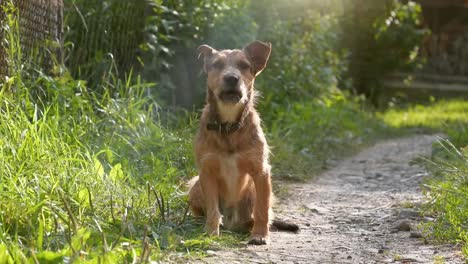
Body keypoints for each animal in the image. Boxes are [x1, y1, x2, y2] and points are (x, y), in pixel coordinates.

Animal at [186, 39, 296, 245]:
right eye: (217, 65)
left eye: (244, 65)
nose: (231, 78)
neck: (229, 126)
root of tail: (232, 224)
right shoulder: (206, 171)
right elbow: (213, 210)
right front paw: (210, 233)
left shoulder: (261, 172)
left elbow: (262, 210)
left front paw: (260, 235)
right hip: (195, 185)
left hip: (253, 190)